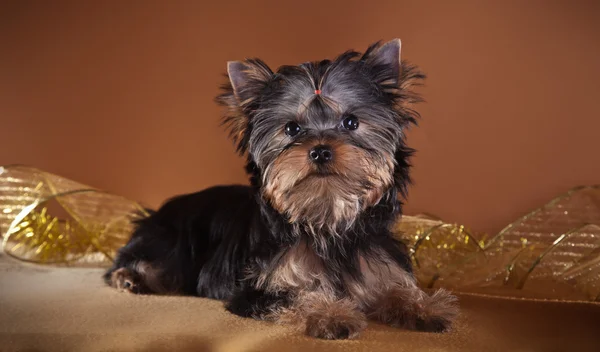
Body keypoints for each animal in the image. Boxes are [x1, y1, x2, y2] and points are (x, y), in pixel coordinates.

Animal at [104, 40, 460, 340]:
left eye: (351, 122)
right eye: (292, 128)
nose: (320, 150)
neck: (325, 218)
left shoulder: (376, 261)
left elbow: (394, 289)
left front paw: (424, 306)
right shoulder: (257, 289)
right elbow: (298, 294)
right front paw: (329, 315)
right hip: (170, 240)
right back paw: (129, 277)